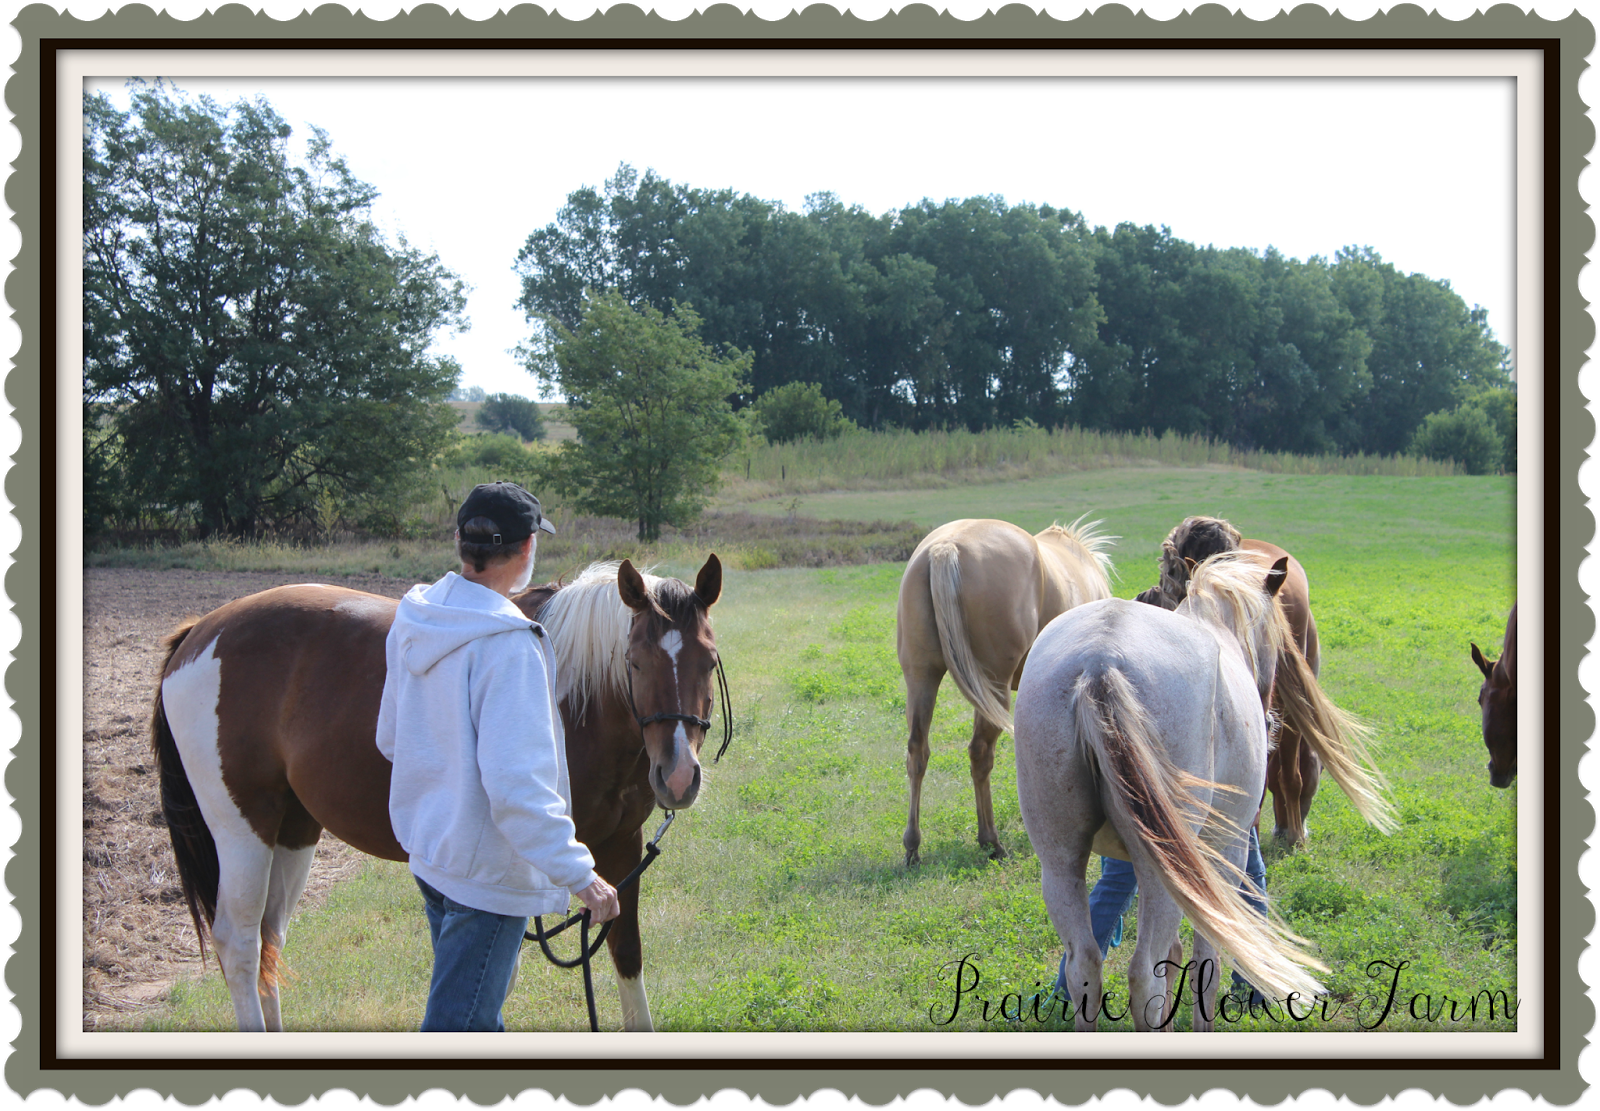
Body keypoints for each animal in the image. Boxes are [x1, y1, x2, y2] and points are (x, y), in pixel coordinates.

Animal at [150, 555, 724, 1032]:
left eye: (709, 660)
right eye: (635, 661)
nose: (677, 776)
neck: (575, 698)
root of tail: (201, 633)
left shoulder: (622, 848)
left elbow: (626, 953)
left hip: (293, 829)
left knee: (270, 937)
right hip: (243, 827)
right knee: (241, 943)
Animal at [895, 516, 1116, 866]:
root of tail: (945, 548)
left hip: (921, 679)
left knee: (918, 752)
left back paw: (913, 847)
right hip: (994, 687)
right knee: (980, 754)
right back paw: (990, 841)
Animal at [1014, 552, 1395, 1031]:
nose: (1271, 721)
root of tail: (1100, 661)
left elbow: (1177, 953)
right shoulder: (1224, 854)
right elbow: (1206, 961)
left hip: (1061, 861)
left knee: (1085, 963)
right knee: (1145, 975)